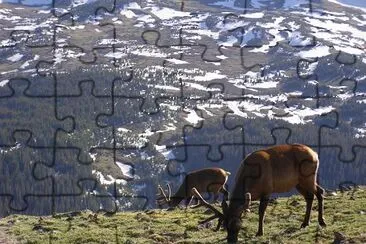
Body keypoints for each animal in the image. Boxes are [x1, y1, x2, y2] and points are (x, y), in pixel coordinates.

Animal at [192, 144, 326, 243]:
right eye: (225, 226)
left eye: (237, 225)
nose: (231, 241)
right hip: (298, 183)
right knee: (310, 197)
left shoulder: (267, 190)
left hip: (308, 177)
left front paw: (260, 232)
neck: (251, 180)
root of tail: (315, 154)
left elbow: (261, 212)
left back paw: (321, 221)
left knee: (320, 192)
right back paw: (305, 223)